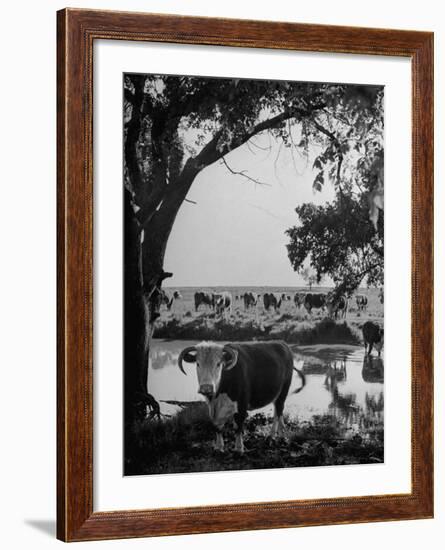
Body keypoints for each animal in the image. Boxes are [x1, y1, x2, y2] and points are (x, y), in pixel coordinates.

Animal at [177, 342, 306, 454]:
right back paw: (280, 432)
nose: (206, 388)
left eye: (218, 364)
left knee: (279, 410)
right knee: (277, 411)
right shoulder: (213, 408)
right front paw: (219, 447)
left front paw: (239, 448)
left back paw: (273, 435)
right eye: (198, 364)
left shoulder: (242, 403)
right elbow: (217, 426)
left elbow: (239, 426)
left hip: (284, 390)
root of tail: (282, 344)